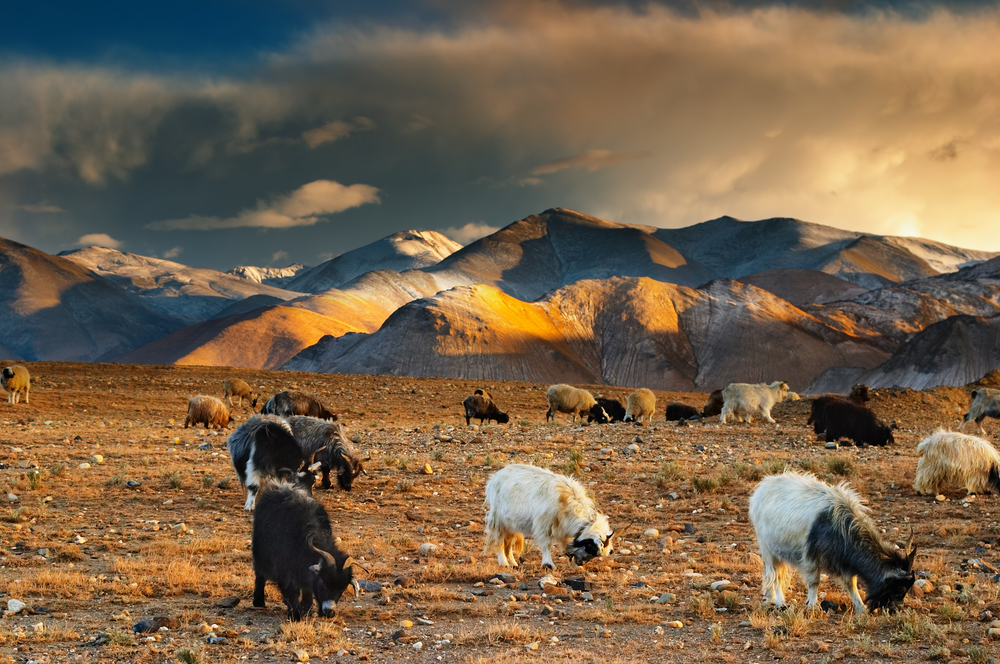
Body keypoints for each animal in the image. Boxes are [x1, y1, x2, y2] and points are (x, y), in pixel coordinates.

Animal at [252, 479, 358, 620]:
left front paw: (305, 609)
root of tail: (279, 486)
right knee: (260, 575)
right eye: (323, 584)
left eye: (342, 589)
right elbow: (292, 591)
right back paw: (258, 602)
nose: (329, 613)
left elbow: (307, 589)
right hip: (260, 553)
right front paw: (295, 615)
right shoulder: (285, 570)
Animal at [484, 464, 614, 570]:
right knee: (498, 539)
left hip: (511, 522)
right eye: (589, 548)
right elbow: (546, 544)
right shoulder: (543, 525)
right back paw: (504, 562)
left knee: (508, 541)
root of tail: (495, 478)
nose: (580, 563)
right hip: (498, 519)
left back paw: (512, 563)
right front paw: (548, 565)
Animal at [749, 471, 915, 613]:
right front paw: (812, 605)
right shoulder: (810, 556)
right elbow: (814, 581)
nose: (894, 611)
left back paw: (770, 596)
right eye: (899, 589)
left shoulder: (844, 560)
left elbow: (851, 582)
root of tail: (761, 488)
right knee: (775, 575)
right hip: (768, 549)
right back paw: (780, 602)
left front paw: (860, 607)